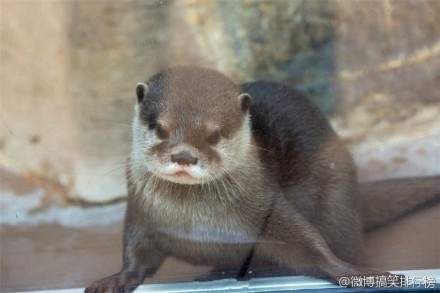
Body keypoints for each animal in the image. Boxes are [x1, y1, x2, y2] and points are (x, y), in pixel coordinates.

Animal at [86, 66, 440, 292]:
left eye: (214, 135)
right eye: (160, 128)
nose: (184, 156)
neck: (196, 223)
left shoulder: (265, 204)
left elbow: (307, 241)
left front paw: (354, 274)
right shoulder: (141, 214)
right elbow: (136, 253)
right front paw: (116, 279)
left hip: (336, 196)